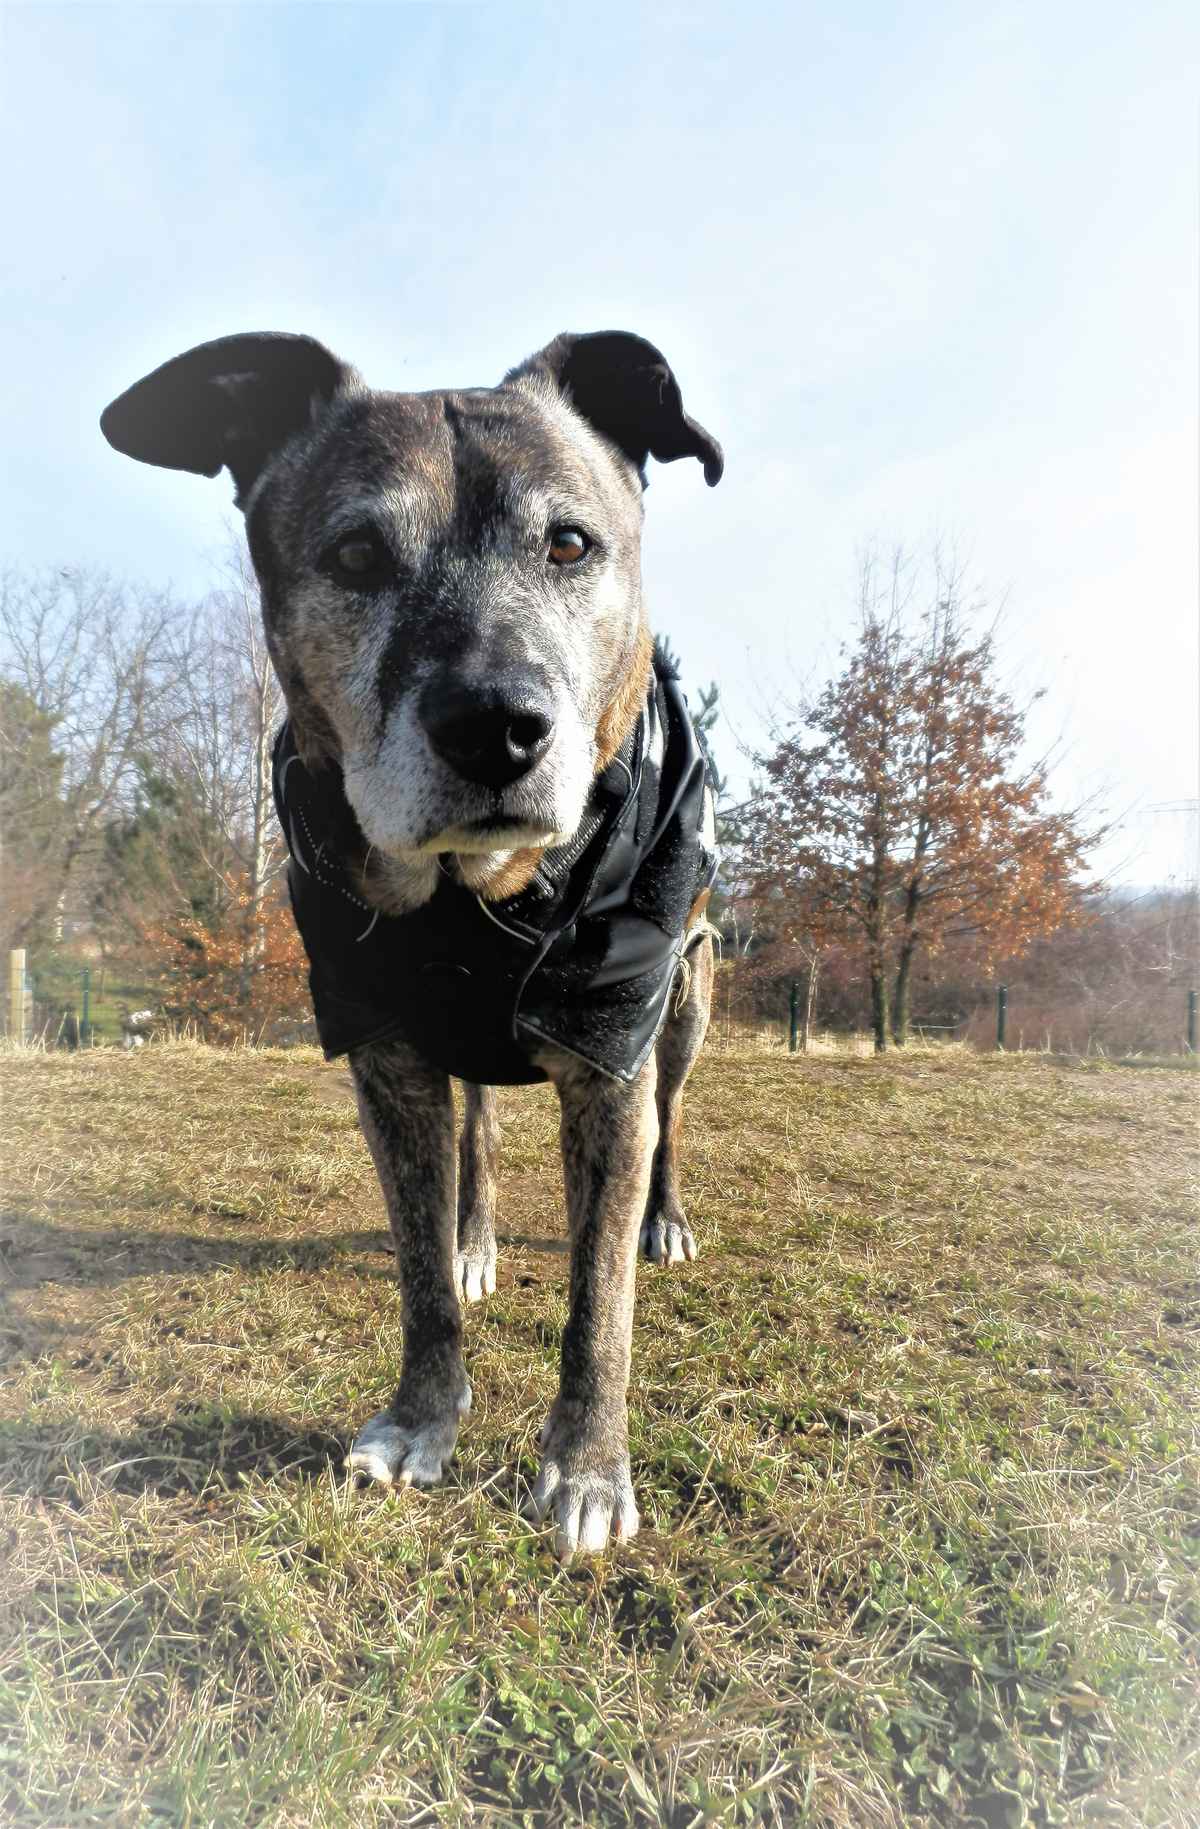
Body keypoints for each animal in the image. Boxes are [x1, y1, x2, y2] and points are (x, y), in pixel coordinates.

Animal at [101, 329, 723, 1558]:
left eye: (570, 542)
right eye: (354, 552)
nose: (497, 726)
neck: (469, 904)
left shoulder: (609, 1054)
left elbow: (597, 1300)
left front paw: (588, 1468)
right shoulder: (387, 1054)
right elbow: (420, 1270)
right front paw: (421, 1418)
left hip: (684, 1007)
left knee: (672, 1119)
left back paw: (664, 1222)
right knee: (478, 1135)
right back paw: (479, 1236)